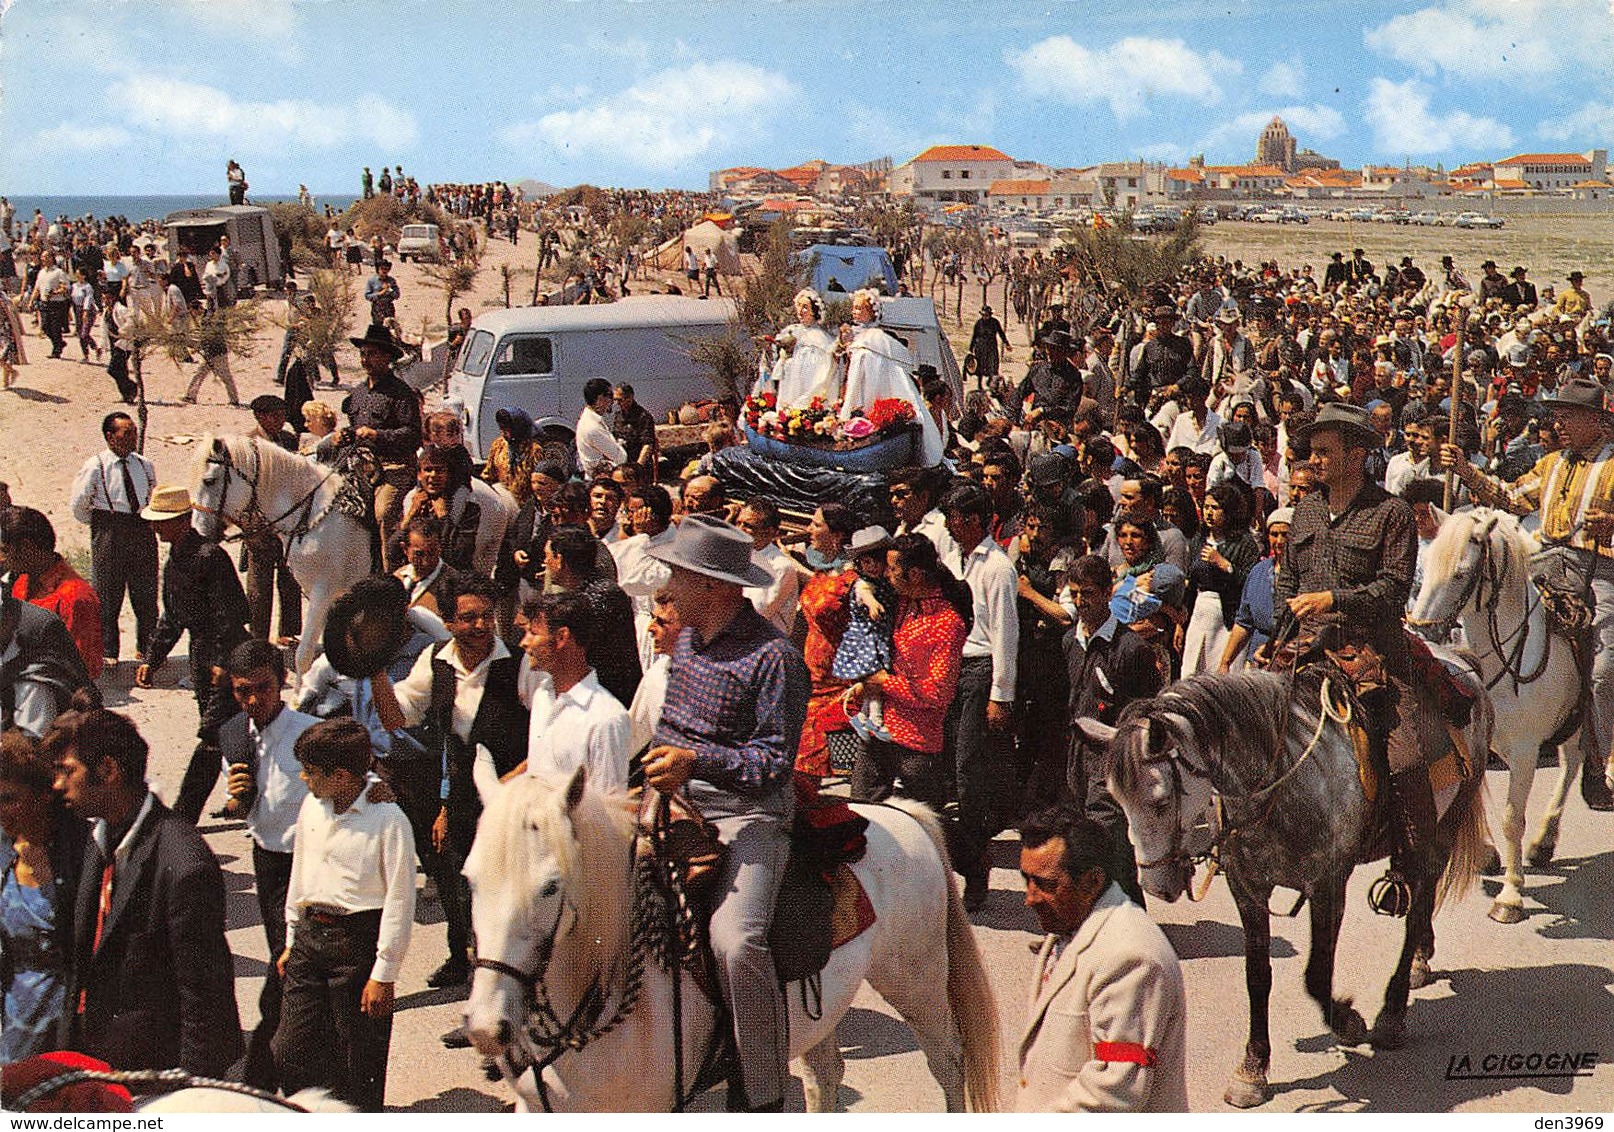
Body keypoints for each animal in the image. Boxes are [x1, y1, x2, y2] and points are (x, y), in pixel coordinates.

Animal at [192, 436, 371, 675]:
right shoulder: (327, 593)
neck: (311, 516)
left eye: (209, 481)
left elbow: (304, 656)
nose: (199, 531)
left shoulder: (324, 590)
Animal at [461, 768, 1000, 1111]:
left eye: (550, 887)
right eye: (470, 879)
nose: (487, 1027)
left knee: (948, 1062)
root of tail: (899, 812)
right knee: (824, 1077)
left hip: (916, 979)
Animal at [1407, 507, 1581, 923]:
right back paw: (1544, 842)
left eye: (1460, 574)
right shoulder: (1480, 744)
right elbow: (1478, 798)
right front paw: (1486, 854)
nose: (1420, 633)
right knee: (1572, 763)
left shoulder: (1525, 753)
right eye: (1424, 565)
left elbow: (1511, 818)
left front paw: (1510, 895)